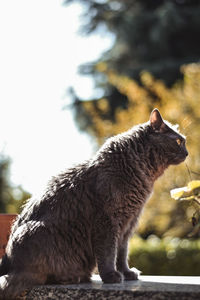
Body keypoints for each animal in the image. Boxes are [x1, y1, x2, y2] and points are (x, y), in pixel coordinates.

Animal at [0, 109, 188, 298]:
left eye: (184, 141)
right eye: (179, 141)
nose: (187, 152)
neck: (143, 175)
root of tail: (9, 264)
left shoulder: (129, 223)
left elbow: (122, 253)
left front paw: (127, 273)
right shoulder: (107, 221)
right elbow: (108, 252)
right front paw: (111, 276)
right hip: (40, 233)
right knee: (38, 277)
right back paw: (71, 278)